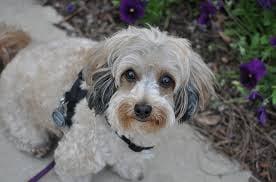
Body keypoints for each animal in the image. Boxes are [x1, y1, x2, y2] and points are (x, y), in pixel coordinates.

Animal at [0, 26, 216, 181]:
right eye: (130, 74)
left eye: (166, 80)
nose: (142, 109)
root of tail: (18, 54)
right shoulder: (73, 159)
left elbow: (128, 159)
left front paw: (131, 169)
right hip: (24, 123)